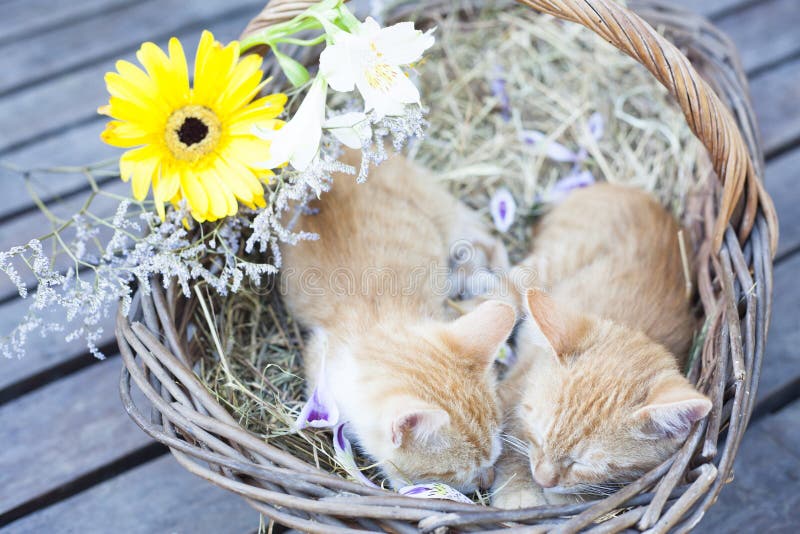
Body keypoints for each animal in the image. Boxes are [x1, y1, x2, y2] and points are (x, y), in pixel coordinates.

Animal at [284, 148, 516, 494]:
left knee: (488, 241)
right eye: (455, 473)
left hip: (442, 210)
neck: (375, 324)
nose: (487, 482)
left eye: (497, 448)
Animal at [490, 185, 708, 510]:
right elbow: (507, 434)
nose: (542, 479)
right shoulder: (510, 390)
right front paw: (518, 490)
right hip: (544, 266)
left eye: (583, 464)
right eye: (538, 436)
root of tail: (619, 188)